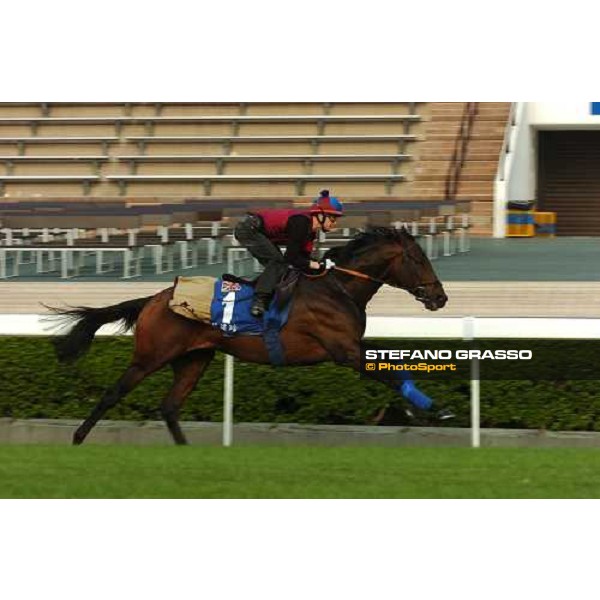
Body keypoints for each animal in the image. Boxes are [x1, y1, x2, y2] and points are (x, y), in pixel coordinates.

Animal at [50, 227, 446, 442]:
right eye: (418, 259)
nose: (440, 297)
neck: (338, 288)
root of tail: (154, 298)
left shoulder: (351, 346)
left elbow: (394, 364)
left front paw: (420, 409)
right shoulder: (343, 351)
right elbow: (390, 372)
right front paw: (433, 409)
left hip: (194, 359)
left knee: (170, 406)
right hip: (151, 356)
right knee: (113, 393)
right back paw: (78, 438)